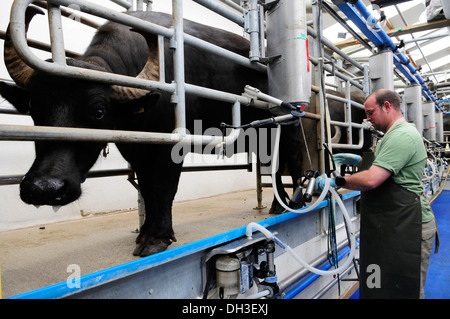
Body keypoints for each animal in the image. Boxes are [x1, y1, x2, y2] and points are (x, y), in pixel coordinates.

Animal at [0, 7, 302, 258]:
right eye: (34, 107)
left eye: (98, 111)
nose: (44, 189)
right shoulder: (136, 149)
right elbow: (147, 188)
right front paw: (145, 232)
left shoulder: (170, 147)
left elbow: (163, 188)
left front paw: (158, 237)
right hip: (261, 138)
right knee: (274, 166)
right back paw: (279, 205)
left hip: (287, 127)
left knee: (294, 161)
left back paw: (295, 201)